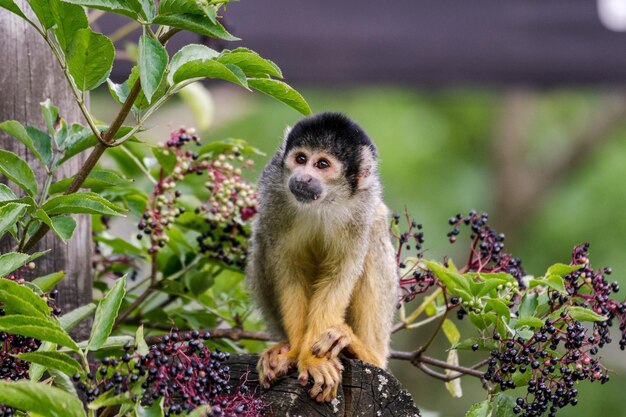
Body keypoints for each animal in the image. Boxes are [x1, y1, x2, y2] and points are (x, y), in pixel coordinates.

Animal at [244, 112, 394, 402]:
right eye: (301, 159)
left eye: (322, 164)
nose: (303, 177)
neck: (323, 202)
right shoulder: (273, 188)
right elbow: (290, 269)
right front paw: (294, 353)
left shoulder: (362, 204)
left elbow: (340, 273)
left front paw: (314, 360)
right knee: (262, 239)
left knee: (376, 227)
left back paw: (364, 351)